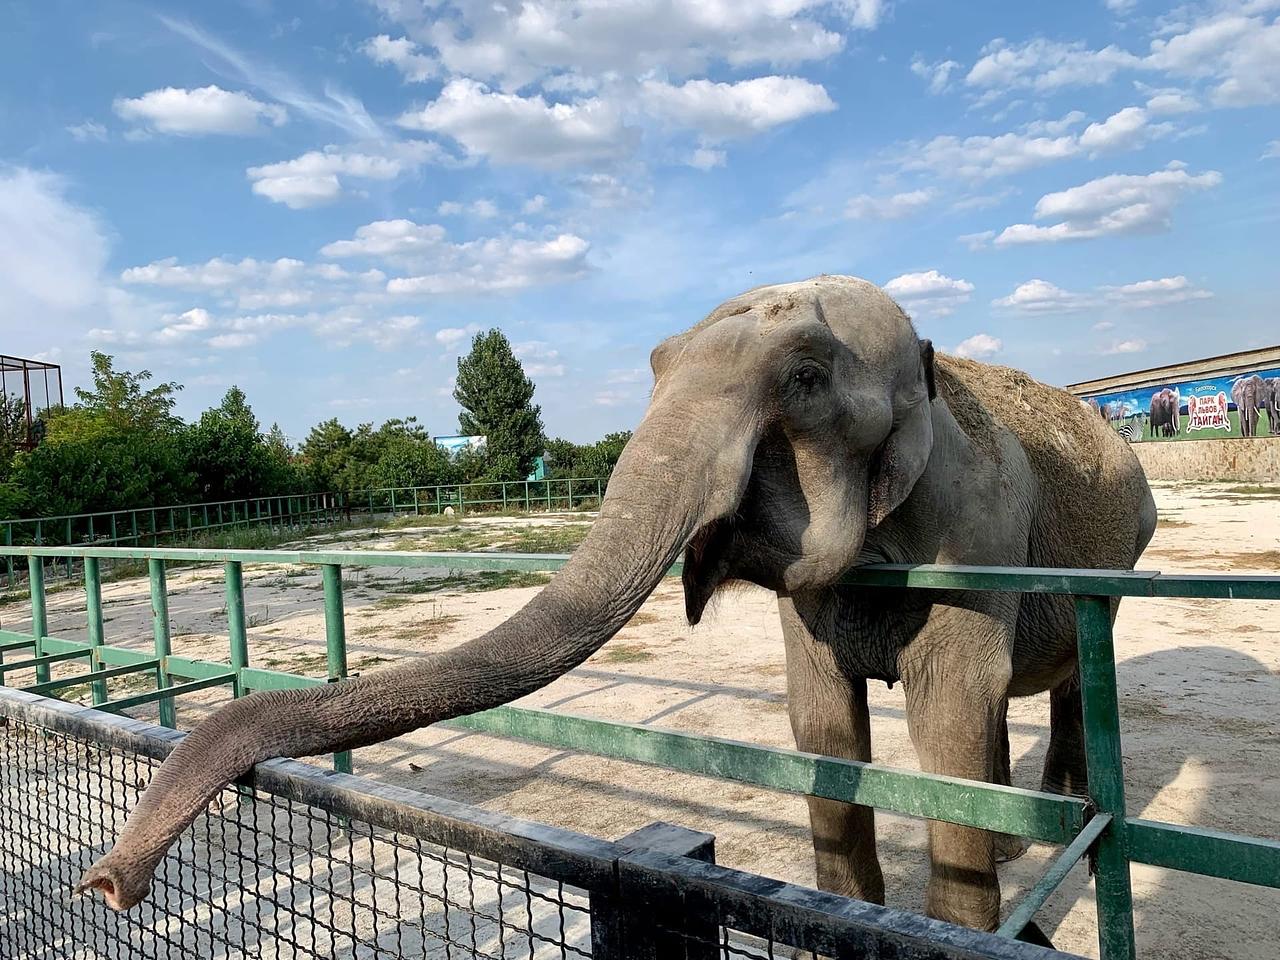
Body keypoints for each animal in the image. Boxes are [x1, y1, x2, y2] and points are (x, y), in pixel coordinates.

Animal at [77, 276, 1157, 935]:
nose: (107, 883)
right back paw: (1029, 832)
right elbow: (820, 730)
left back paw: (1056, 814)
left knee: (1057, 680)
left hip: (1120, 559)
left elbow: (946, 712)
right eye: (652, 366)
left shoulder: (971, 536)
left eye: (806, 377)